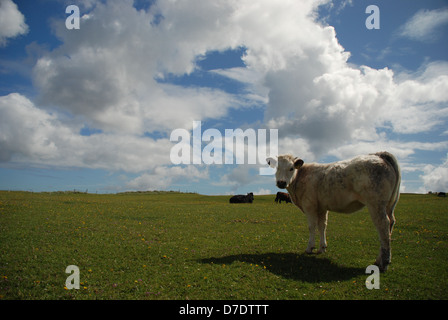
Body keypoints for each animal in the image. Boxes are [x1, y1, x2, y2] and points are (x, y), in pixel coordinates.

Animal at [268, 151, 400, 272]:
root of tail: (379, 155)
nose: (281, 182)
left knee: (383, 226)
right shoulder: (322, 208)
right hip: (389, 205)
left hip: (376, 203)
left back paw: (384, 263)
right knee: (390, 224)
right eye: (277, 168)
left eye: (291, 168)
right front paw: (322, 248)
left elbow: (312, 226)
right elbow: (322, 226)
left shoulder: (309, 205)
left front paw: (310, 248)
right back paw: (379, 260)